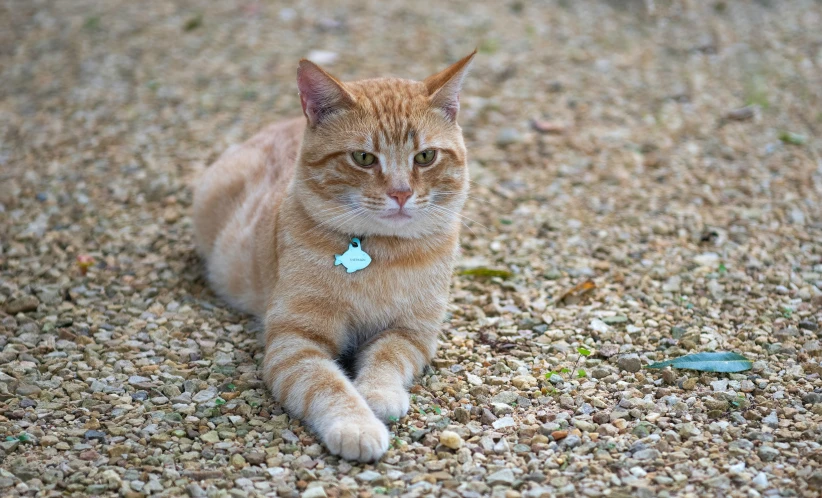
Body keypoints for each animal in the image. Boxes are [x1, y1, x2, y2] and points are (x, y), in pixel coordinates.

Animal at [193, 51, 476, 462]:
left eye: (425, 156)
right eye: (363, 158)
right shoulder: (295, 343)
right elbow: (327, 384)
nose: (401, 193)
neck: (383, 254)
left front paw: (378, 394)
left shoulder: (412, 334)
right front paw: (357, 426)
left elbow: (386, 359)